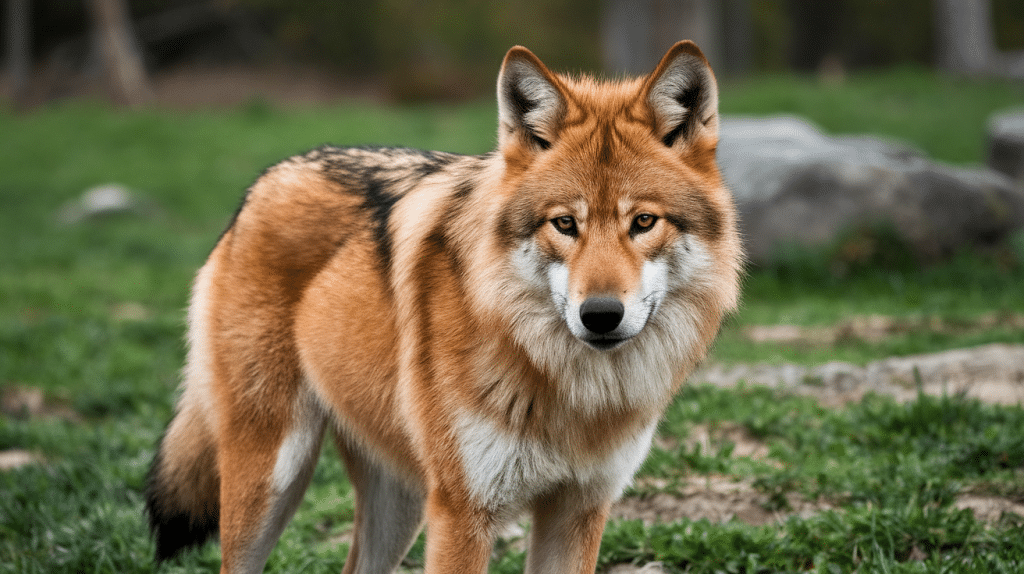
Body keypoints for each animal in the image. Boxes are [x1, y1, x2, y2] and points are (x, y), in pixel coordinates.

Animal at [144, 41, 741, 572]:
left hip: (399, 502)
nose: (599, 314)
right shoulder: (462, 514)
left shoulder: (578, 511)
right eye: (565, 223)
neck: (574, 393)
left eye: (643, 221)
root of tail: (263, 182)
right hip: (273, 475)